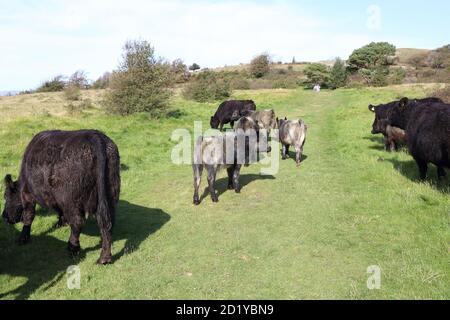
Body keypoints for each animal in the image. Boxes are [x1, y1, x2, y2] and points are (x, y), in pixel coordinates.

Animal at [1, 130, 120, 264]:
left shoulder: (28, 195)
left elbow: (28, 216)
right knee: (107, 223)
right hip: (110, 194)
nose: (4, 216)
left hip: (71, 199)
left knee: (78, 222)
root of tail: (95, 136)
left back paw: (73, 248)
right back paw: (104, 258)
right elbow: (59, 209)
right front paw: (61, 222)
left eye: (6, 196)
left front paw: (23, 238)